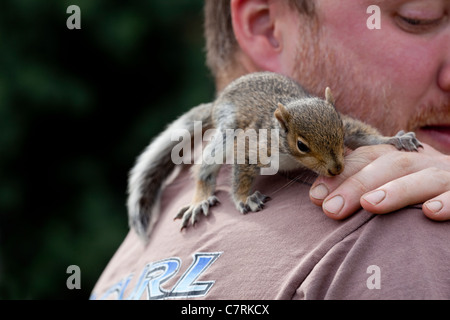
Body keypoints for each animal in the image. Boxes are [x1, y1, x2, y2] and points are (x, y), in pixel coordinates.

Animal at [127, 71, 422, 239]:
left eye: (339, 126)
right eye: (301, 144)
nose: (336, 169)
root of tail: (216, 103)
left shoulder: (348, 129)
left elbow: (364, 135)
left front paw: (395, 139)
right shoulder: (254, 145)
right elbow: (241, 172)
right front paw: (245, 198)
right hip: (226, 130)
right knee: (203, 169)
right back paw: (200, 198)